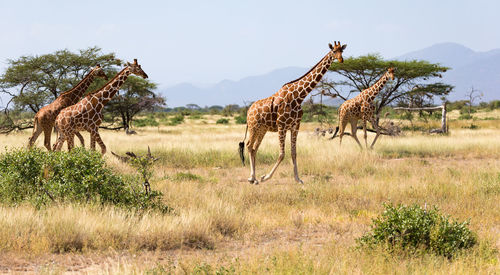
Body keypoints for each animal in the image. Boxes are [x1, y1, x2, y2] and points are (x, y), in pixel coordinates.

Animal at [240, 41, 346, 185]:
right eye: (334, 51)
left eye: (342, 50)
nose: (341, 59)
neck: (299, 96)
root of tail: (249, 110)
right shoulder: (282, 125)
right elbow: (282, 154)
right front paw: (265, 177)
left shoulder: (295, 126)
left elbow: (294, 153)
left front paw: (298, 179)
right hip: (253, 127)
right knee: (249, 145)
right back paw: (252, 178)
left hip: (262, 129)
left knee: (254, 148)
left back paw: (254, 177)